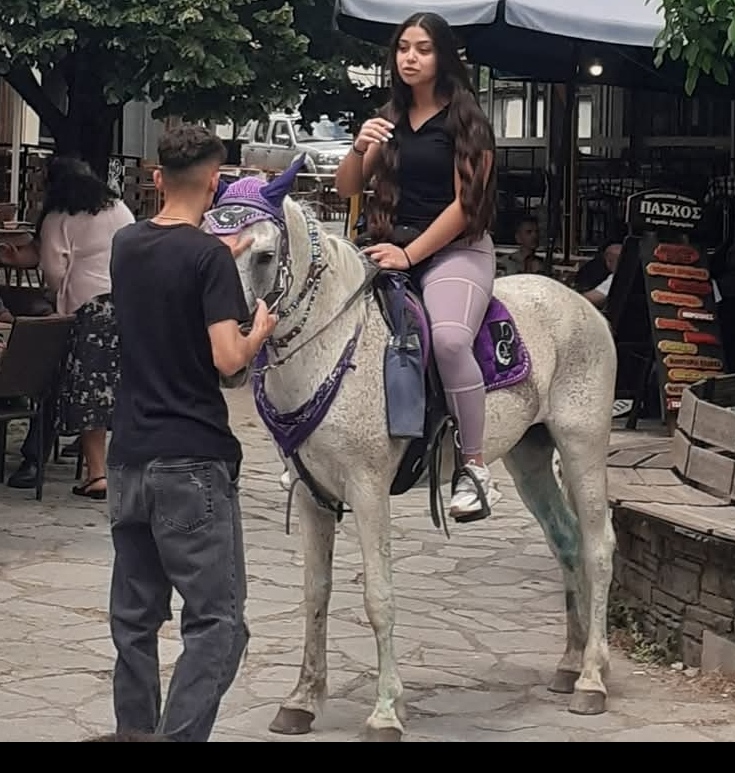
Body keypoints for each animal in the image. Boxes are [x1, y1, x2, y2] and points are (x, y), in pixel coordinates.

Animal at [202, 157, 618, 742]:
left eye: (263, 255)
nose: (227, 354)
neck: (334, 346)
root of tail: (581, 303)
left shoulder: (368, 489)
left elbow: (379, 597)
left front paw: (385, 713)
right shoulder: (311, 494)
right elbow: (315, 592)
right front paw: (302, 700)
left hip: (583, 444)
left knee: (599, 547)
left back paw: (592, 680)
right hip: (530, 457)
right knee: (568, 541)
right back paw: (570, 663)